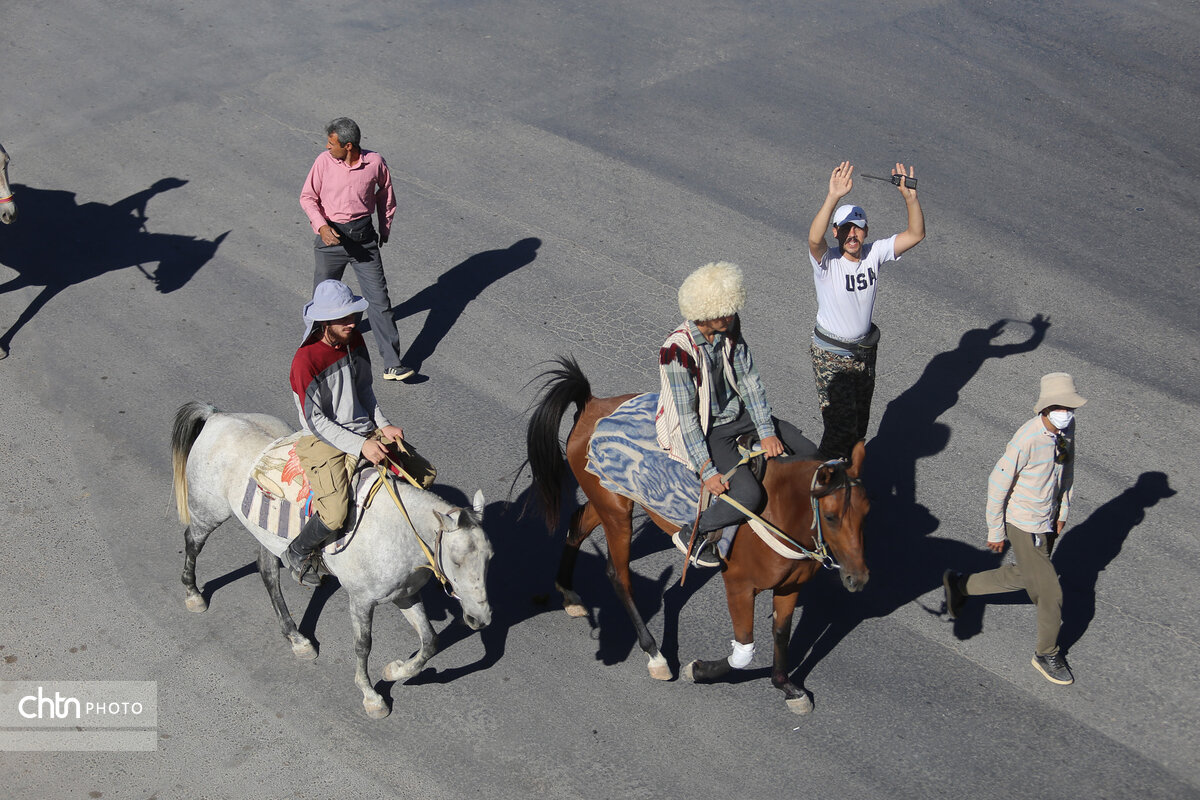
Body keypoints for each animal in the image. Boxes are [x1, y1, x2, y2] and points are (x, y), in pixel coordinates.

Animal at [169, 400, 492, 719]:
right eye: (457, 560)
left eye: (490, 558)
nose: (481, 619)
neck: (396, 529)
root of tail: (216, 417)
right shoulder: (362, 601)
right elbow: (363, 646)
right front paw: (371, 696)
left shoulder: (405, 595)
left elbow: (430, 641)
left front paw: (395, 670)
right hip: (209, 512)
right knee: (193, 542)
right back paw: (193, 594)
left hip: (267, 535)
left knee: (267, 571)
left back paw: (297, 638)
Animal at [530, 357, 868, 714]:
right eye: (830, 517)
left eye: (867, 511)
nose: (858, 579)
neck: (780, 509)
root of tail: (594, 404)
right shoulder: (740, 586)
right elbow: (744, 652)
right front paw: (700, 670)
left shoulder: (790, 586)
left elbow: (781, 635)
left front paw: (787, 686)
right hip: (616, 511)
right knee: (618, 575)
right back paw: (655, 654)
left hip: (610, 498)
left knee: (578, 525)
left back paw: (569, 594)